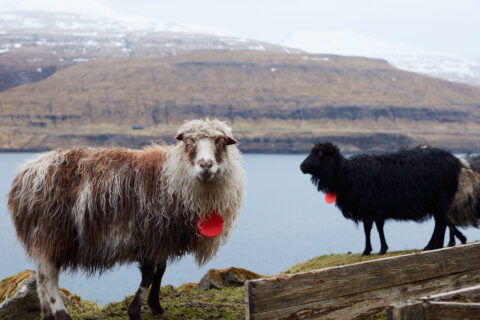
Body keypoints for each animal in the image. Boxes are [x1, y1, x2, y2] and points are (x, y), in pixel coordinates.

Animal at [298, 142, 478, 255]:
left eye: (320, 153)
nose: (301, 166)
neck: (345, 174)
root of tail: (456, 161)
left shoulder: (370, 207)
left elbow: (371, 228)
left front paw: (371, 250)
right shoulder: (374, 208)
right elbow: (375, 228)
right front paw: (378, 249)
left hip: (439, 199)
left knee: (441, 223)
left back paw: (431, 246)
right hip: (437, 202)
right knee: (441, 222)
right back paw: (438, 245)